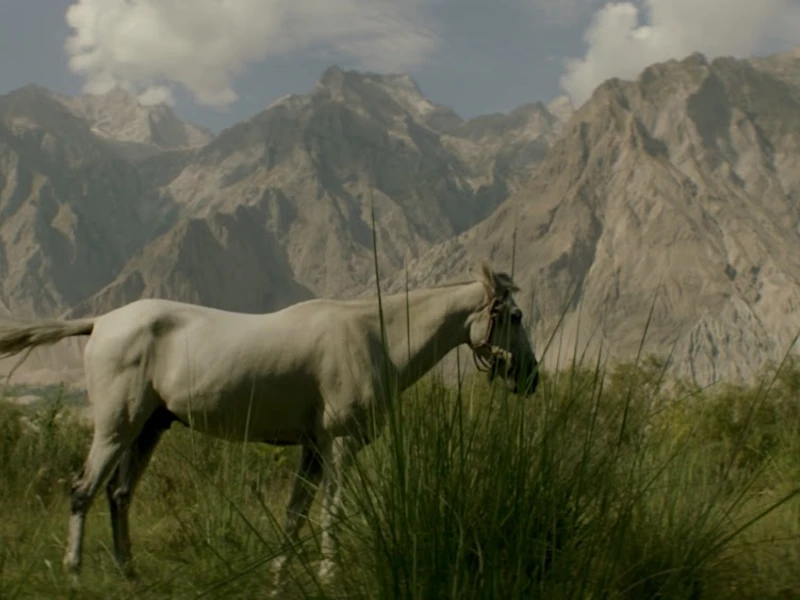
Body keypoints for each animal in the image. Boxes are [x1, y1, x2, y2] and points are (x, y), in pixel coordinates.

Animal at [0, 262, 539, 589]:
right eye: (513, 315)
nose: (531, 377)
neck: (374, 337)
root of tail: (101, 322)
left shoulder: (314, 449)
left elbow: (294, 514)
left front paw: (280, 576)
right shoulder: (339, 446)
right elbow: (330, 513)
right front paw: (329, 574)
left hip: (149, 428)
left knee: (118, 496)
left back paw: (130, 576)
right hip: (116, 429)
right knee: (82, 492)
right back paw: (74, 575)